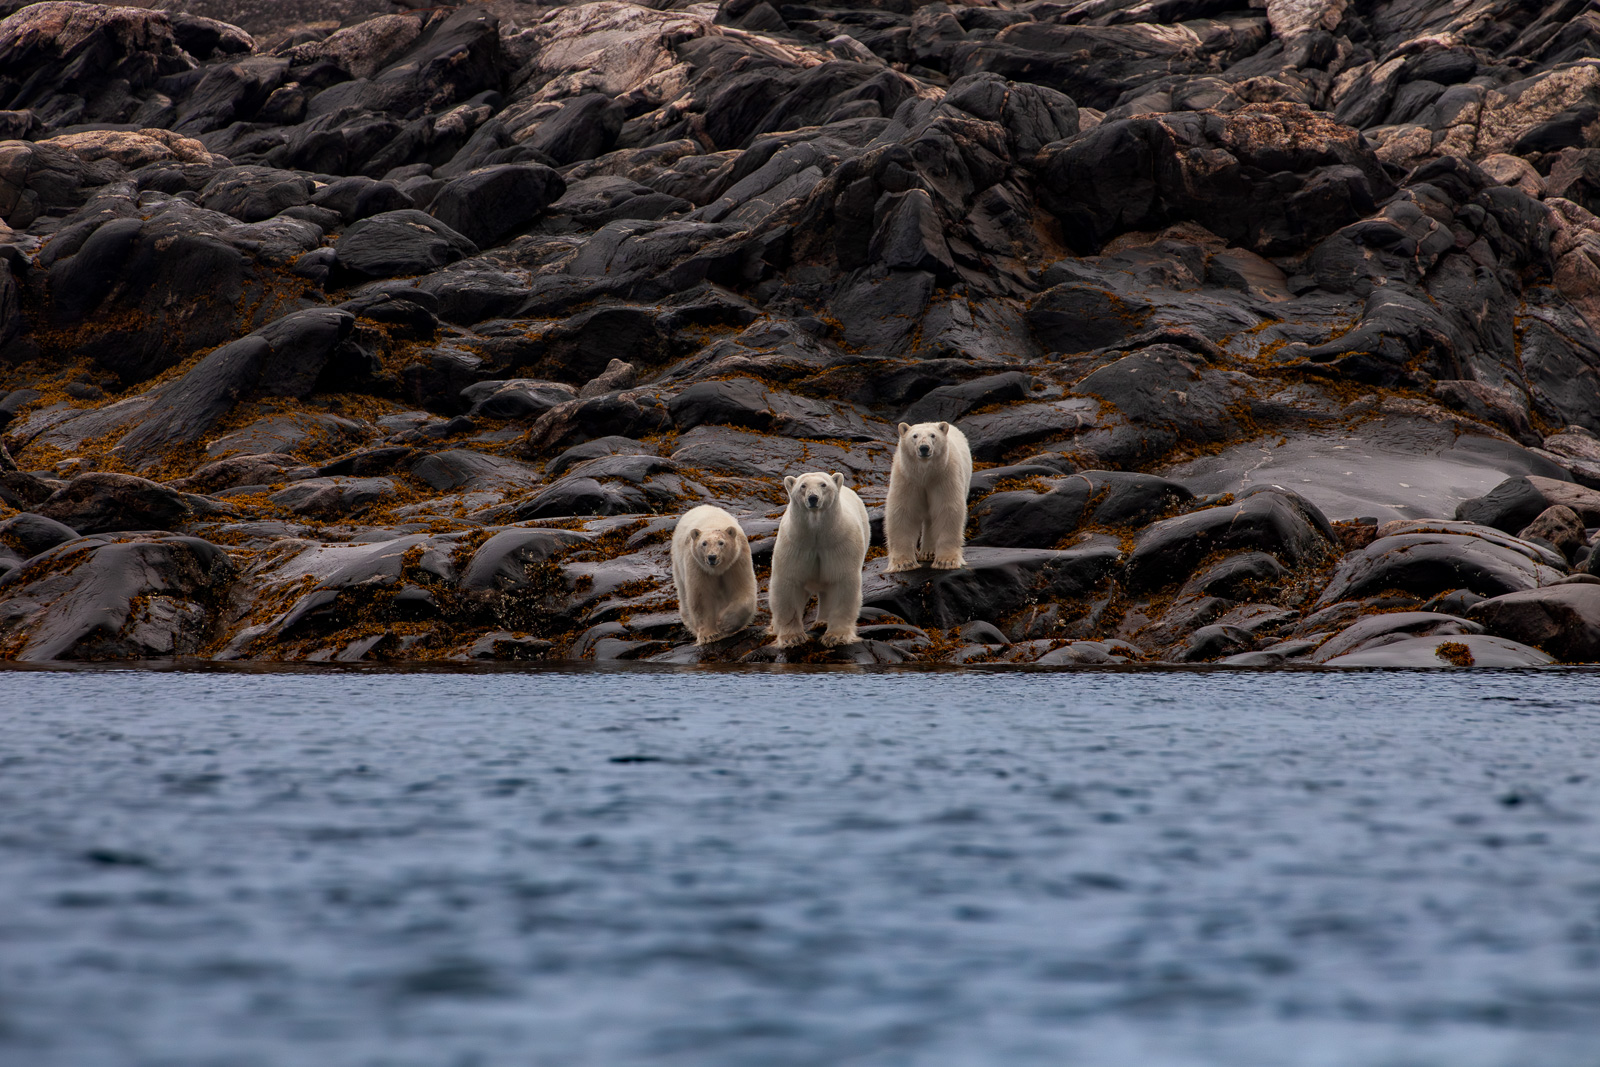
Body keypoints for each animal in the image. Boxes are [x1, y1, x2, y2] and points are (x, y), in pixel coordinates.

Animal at [671, 504, 758, 645]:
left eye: (721, 542)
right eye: (704, 543)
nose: (712, 557)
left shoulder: (736, 561)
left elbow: (742, 590)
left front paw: (724, 624)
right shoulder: (697, 565)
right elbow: (701, 597)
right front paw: (709, 635)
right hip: (678, 564)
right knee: (684, 594)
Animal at [769, 471, 870, 647]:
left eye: (823, 484)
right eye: (803, 486)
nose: (813, 498)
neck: (816, 534)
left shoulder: (840, 545)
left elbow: (842, 582)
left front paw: (835, 637)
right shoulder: (795, 545)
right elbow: (788, 583)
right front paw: (792, 637)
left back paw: (822, 622)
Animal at [885, 420, 972, 572]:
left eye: (933, 435)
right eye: (914, 436)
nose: (924, 448)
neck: (925, 474)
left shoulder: (944, 475)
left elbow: (946, 509)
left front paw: (946, 561)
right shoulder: (906, 478)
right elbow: (902, 512)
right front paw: (904, 563)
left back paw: (929, 552)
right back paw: (927, 552)